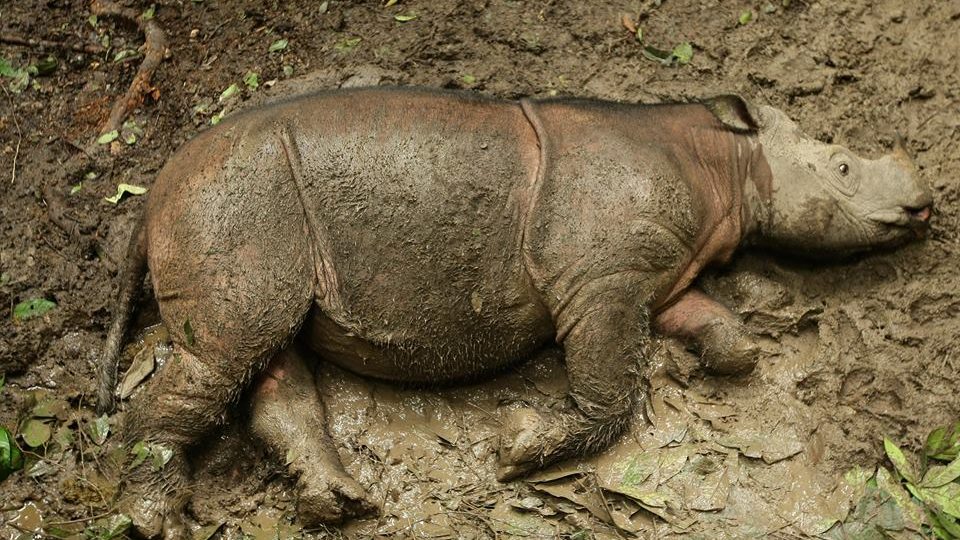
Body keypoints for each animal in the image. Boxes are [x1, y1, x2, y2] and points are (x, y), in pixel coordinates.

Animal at [96, 87, 932, 538]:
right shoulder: (599, 278)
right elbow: (614, 390)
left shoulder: (660, 276)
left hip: (248, 210)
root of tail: (151, 199)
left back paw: (343, 502)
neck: (726, 162)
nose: (924, 204)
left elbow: (720, 334)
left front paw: (725, 355)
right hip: (232, 204)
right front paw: (518, 445)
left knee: (268, 357)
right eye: (844, 166)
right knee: (226, 354)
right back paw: (159, 518)